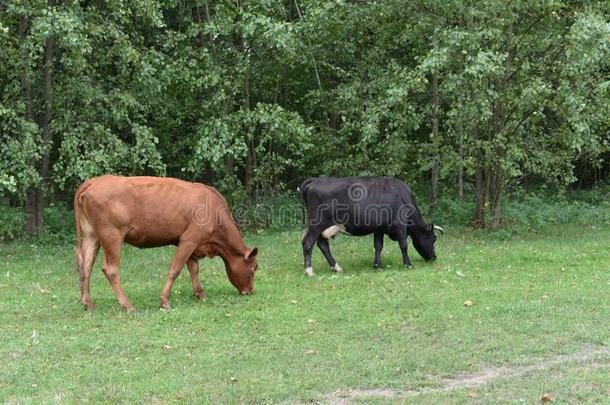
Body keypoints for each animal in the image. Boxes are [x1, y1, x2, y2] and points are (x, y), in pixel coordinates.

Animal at [73, 175, 256, 310]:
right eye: (254, 268)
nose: (250, 292)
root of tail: (95, 181)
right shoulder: (190, 238)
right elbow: (176, 269)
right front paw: (164, 301)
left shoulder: (191, 243)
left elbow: (193, 268)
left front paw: (200, 293)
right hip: (112, 235)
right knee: (110, 269)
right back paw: (128, 305)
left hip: (91, 235)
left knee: (86, 265)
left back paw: (88, 303)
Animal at [298, 176, 442, 274]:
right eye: (434, 238)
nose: (434, 257)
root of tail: (314, 180)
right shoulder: (400, 225)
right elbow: (404, 245)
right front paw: (408, 264)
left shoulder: (379, 229)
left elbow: (378, 246)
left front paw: (378, 265)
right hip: (317, 223)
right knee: (308, 242)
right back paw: (309, 271)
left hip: (324, 227)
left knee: (322, 244)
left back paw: (336, 267)